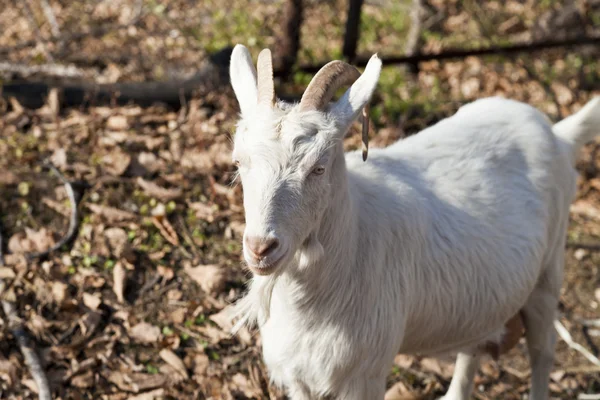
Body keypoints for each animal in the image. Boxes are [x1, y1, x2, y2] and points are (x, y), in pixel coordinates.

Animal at [227, 43, 600, 400]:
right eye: (240, 161)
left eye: (318, 167)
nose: (261, 248)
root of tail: (559, 135)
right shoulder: (299, 376)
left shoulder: (364, 375)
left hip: (548, 272)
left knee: (542, 349)